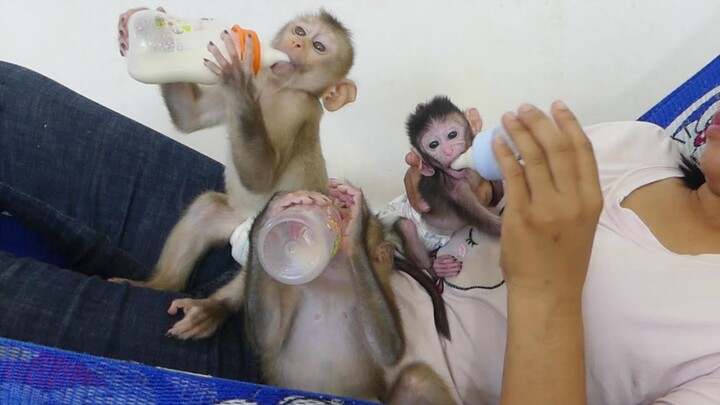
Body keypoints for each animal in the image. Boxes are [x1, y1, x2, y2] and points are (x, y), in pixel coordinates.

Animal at [172, 181, 456, 404]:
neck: (331, 273)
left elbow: (389, 349)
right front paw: (273, 209)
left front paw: (356, 223)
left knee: (417, 379)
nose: (337, 206)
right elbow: (267, 335)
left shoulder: (380, 284)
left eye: (343, 211)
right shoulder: (290, 286)